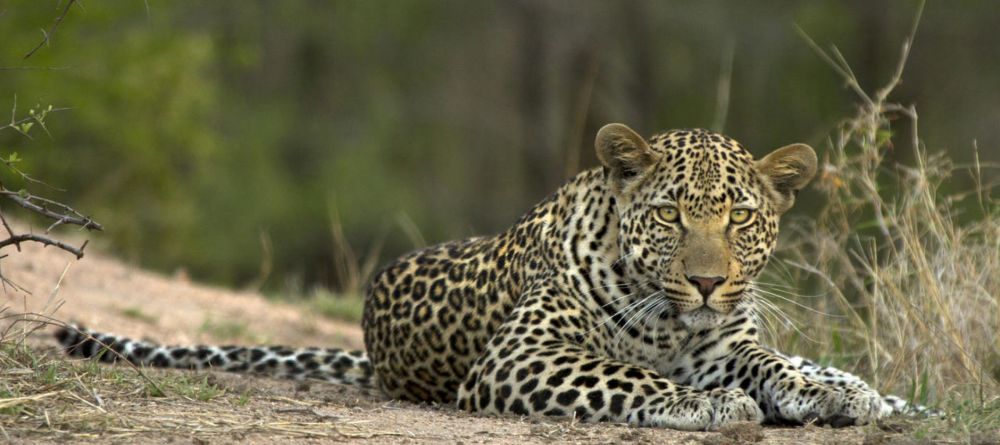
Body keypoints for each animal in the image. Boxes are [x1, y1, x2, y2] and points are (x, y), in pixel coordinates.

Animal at [54, 123, 920, 428]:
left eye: (739, 216)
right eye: (671, 214)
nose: (709, 282)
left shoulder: (725, 343)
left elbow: (772, 361)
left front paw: (824, 394)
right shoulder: (522, 356)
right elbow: (632, 376)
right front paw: (710, 404)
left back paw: (876, 393)